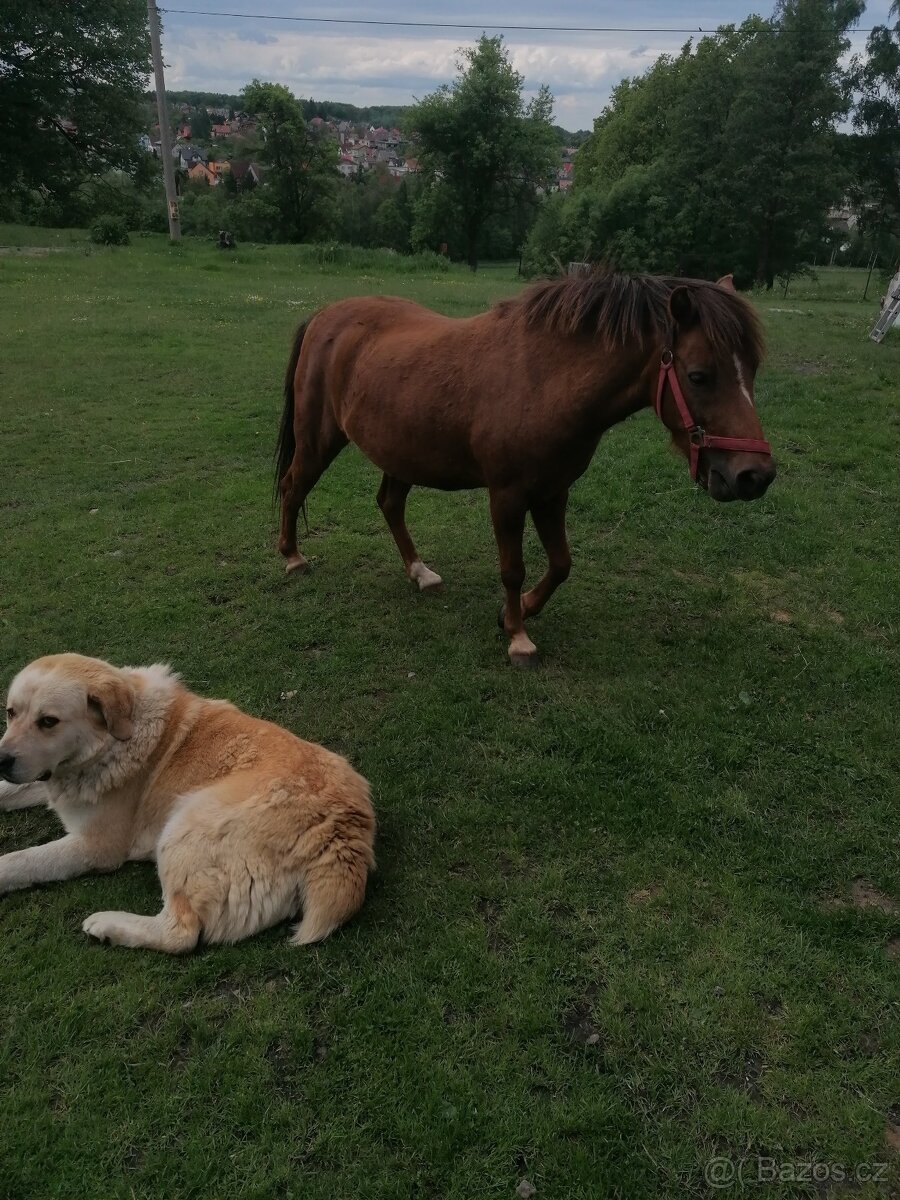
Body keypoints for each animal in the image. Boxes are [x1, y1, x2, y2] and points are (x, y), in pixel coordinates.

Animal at [275, 271, 774, 666]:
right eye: (698, 376)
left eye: (752, 370)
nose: (755, 476)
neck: (545, 379)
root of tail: (324, 316)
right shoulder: (508, 495)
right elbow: (512, 568)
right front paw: (519, 638)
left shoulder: (553, 492)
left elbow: (561, 563)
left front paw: (519, 613)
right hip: (318, 440)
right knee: (293, 486)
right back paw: (293, 558)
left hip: (401, 452)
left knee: (389, 504)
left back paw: (420, 573)